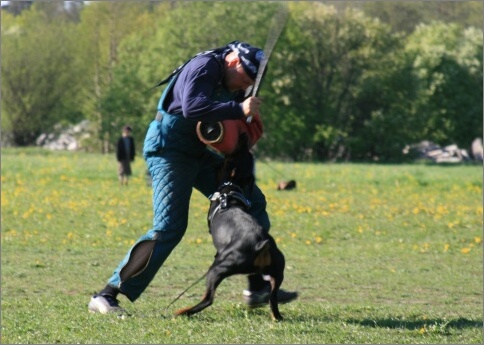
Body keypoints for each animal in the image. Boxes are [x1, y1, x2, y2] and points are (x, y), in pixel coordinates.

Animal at [175, 142, 286, 320]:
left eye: (227, 159)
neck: (231, 189)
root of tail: (261, 244)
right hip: (278, 271)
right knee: (273, 298)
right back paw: (276, 316)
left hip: (217, 268)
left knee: (208, 299)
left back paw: (183, 312)